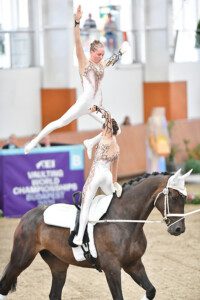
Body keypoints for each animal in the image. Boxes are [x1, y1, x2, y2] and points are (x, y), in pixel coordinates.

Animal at [0, 171, 188, 300]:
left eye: (185, 198)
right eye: (173, 195)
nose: (179, 229)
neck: (123, 220)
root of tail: (27, 216)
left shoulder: (134, 264)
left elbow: (151, 290)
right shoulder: (112, 268)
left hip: (58, 266)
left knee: (54, 294)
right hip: (21, 259)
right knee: (4, 286)